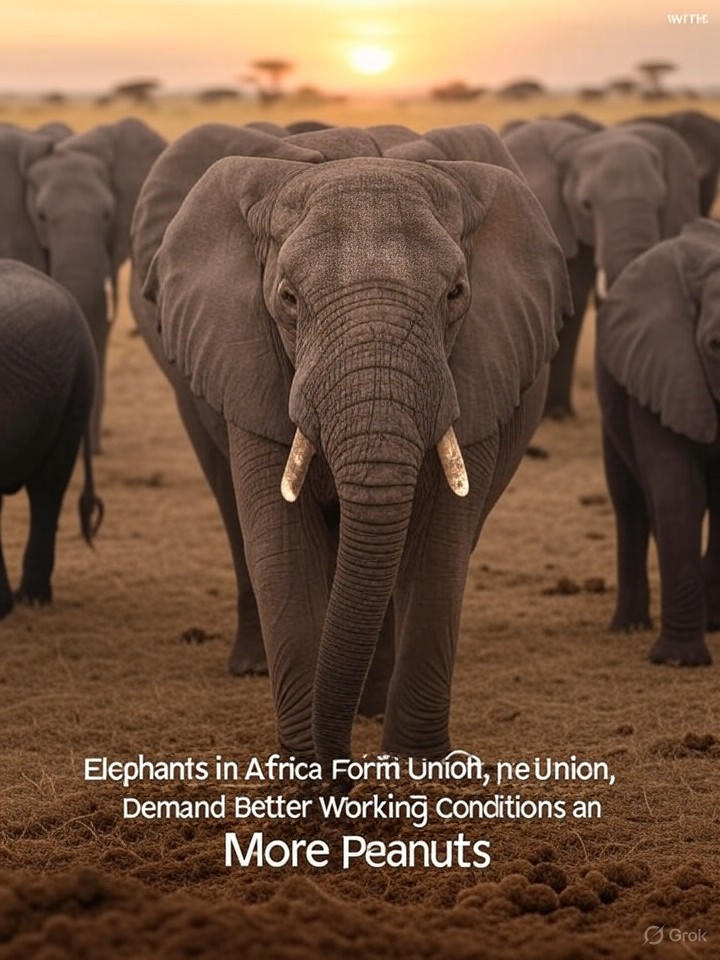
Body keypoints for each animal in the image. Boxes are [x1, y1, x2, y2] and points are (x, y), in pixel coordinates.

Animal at [133, 121, 570, 779]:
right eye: (288, 299)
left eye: (455, 294)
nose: (345, 772)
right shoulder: (253, 366)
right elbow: (282, 548)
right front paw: (307, 777)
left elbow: (438, 549)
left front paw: (417, 772)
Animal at [596, 218, 720, 667]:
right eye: (716, 346)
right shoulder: (660, 367)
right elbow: (678, 491)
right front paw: (678, 660)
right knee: (630, 502)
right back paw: (629, 626)